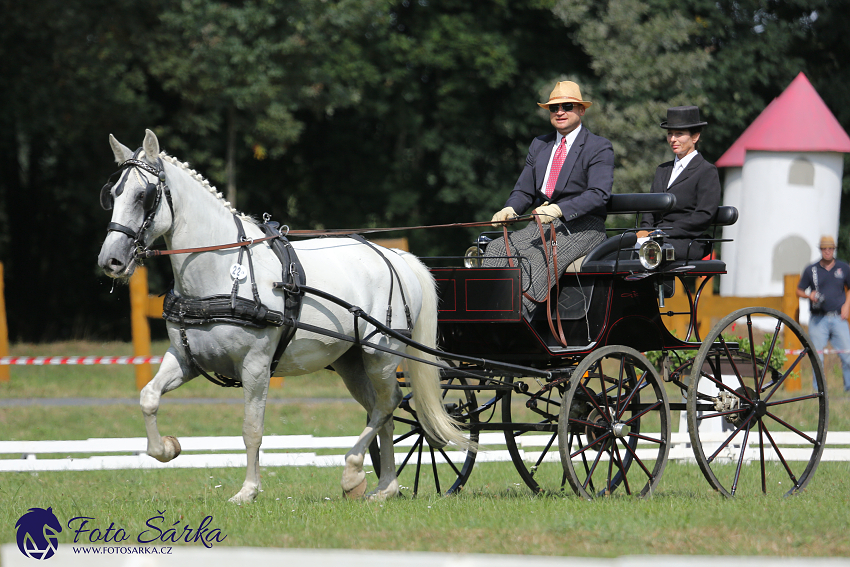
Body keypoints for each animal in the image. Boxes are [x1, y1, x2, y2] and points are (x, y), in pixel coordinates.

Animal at [99, 131, 470, 504]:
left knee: (388, 402)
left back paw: (354, 472)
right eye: (113, 194)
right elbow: (148, 397)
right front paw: (167, 448)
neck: (223, 274)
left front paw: (247, 490)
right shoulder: (185, 359)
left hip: (380, 354)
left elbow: (252, 429)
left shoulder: (256, 366)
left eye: (143, 196)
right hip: (351, 362)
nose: (110, 260)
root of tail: (393, 255)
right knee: (383, 411)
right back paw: (384, 487)